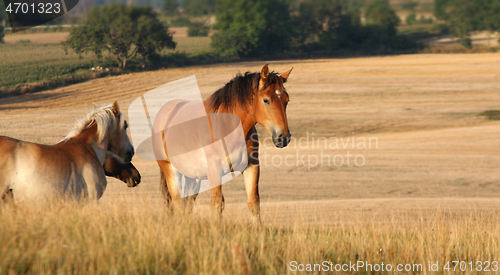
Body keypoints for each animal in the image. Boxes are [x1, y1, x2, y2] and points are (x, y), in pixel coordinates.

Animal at [156, 65, 292, 224]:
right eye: (266, 100)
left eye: (287, 100)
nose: (283, 138)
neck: (227, 126)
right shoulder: (214, 170)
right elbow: (217, 203)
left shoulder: (252, 166)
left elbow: (253, 202)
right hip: (170, 170)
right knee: (177, 200)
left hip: (192, 175)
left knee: (187, 202)